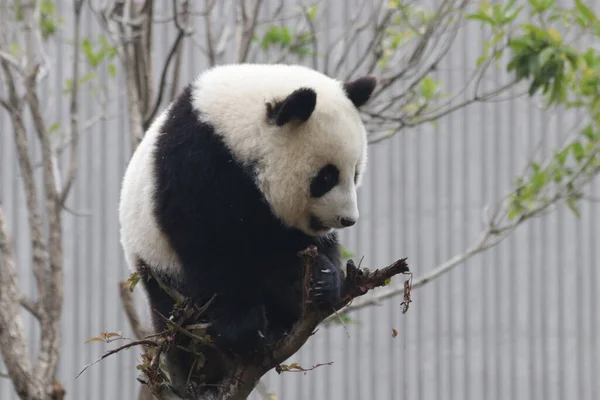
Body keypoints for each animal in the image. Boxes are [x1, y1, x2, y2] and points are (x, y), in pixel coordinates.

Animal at [117, 62, 376, 360]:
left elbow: (297, 246)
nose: (348, 219)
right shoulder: (196, 164)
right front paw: (244, 329)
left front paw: (323, 281)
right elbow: (211, 248)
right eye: (326, 177)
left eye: (354, 174)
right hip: (157, 264)